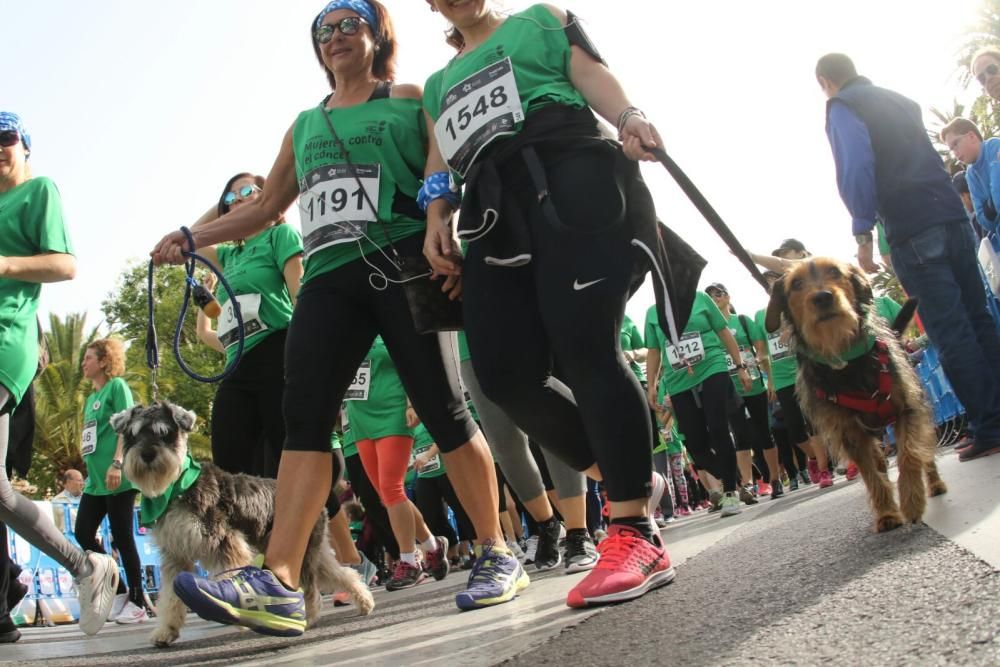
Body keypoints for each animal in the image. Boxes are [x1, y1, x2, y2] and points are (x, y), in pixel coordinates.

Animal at [110, 402, 376, 648]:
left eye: (165, 433)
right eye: (133, 434)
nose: (147, 454)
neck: (178, 487)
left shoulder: (225, 543)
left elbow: (232, 573)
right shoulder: (176, 555)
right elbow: (170, 597)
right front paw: (166, 630)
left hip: (304, 553)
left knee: (311, 588)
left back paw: (308, 617)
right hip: (305, 551)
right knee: (341, 573)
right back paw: (363, 600)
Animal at [764, 260, 944, 532]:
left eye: (835, 272)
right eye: (796, 284)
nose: (822, 297)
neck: (846, 362)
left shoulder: (907, 410)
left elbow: (910, 455)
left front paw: (912, 502)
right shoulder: (850, 432)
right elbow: (870, 474)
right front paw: (887, 513)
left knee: (925, 453)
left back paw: (935, 484)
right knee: (879, 463)